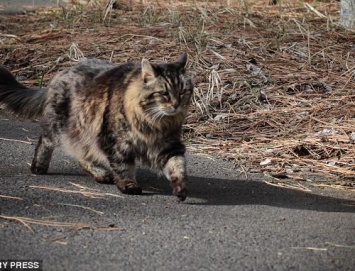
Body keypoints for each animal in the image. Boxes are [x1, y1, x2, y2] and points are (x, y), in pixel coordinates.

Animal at [0, 53, 195, 202]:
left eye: (183, 92)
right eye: (164, 94)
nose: (176, 105)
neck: (154, 123)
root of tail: (61, 73)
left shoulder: (168, 145)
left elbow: (178, 165)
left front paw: (181, 189)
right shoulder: (115, 142)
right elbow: (124, 167)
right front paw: (128, 185)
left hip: (84, 133)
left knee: (82, 156)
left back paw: (101, 174)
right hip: (61, 127)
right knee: (45, 140)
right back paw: (39, 167)